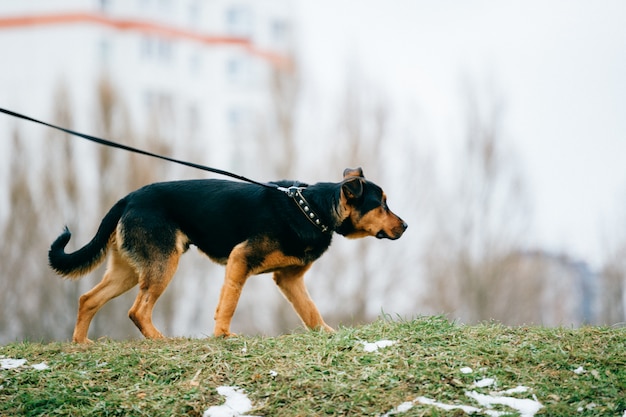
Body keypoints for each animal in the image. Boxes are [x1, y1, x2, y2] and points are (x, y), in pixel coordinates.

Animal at [50, 167, 410, 342]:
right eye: (381, 205)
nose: (406, 226)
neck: (312, 208)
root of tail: (128, 198)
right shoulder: (241, 259)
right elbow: (230, 302)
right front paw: (223, 336)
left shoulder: (289, 279)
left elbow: (310, 311)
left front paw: (327, 334)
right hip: (163, 263)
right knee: (137, 310)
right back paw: (160, 340)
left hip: (129, 270)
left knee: (88, 299)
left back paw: (81, 344)